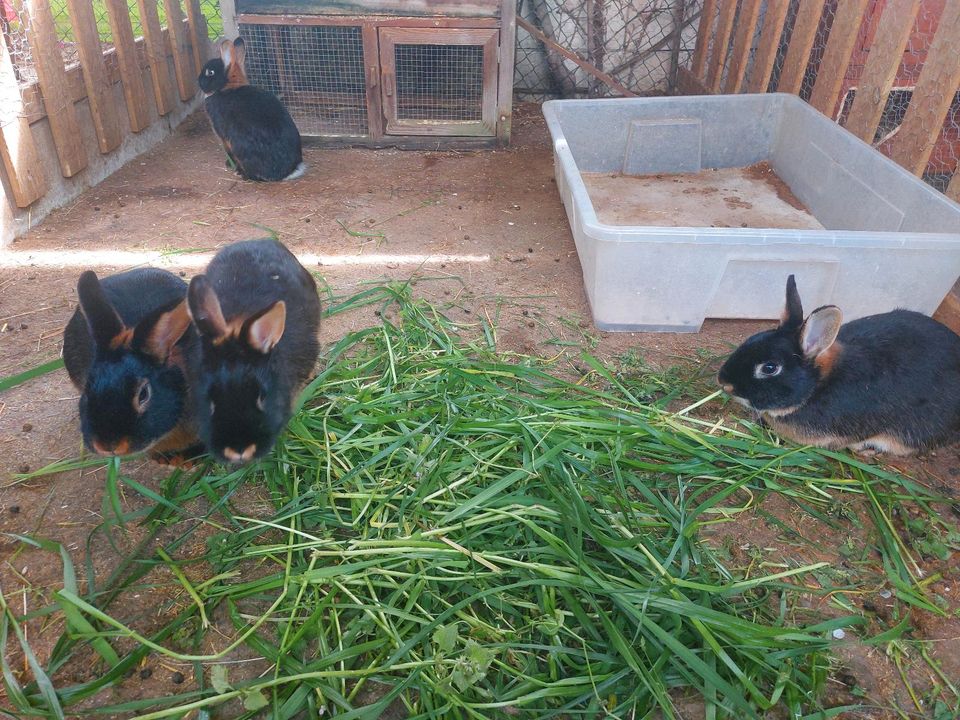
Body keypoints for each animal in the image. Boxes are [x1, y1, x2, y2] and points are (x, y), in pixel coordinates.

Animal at [200, 36, 308, 183]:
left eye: (210, 72)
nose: (198, 81)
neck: (227, 86)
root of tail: (287, 172)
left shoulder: (223, 136)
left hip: (239, 146)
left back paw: (242, 174)